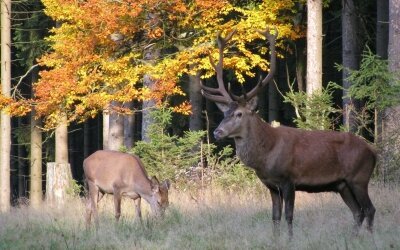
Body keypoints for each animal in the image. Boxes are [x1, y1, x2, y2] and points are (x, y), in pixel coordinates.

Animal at [202, 28, 376, 236]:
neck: (266, 156)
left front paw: (290, 239)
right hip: (343, 185)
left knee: (369, 209)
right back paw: (354, 238)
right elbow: (275, 217)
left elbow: (289, 216)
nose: (217, 132)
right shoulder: (271, 185)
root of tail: (373, 152)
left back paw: (369, 237)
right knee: (358, 212)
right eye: (224, 113)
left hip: (359, 177)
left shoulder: (289, 179)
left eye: (239, 114)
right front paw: (275, 239)